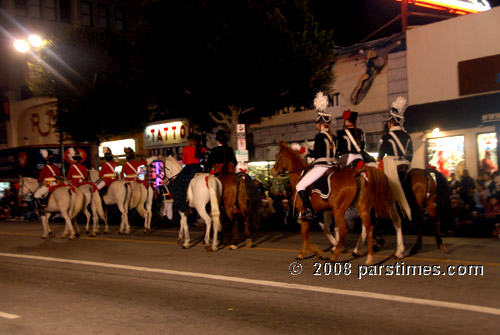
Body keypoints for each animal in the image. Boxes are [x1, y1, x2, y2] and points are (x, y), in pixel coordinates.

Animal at [270, 142, 402, 266]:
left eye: (278, 156)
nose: (272, 171)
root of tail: (356, 173)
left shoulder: (304, 213)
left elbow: (305, 235)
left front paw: (318, 254)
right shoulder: (323, 211)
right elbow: (317, 231)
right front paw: (305, 253)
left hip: (340, 209)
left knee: (345, 229)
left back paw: (336, 256)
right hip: (361, 207)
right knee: (369, 227)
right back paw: (369, 256)